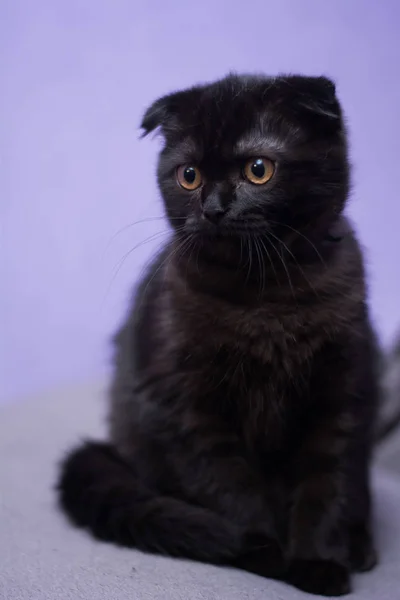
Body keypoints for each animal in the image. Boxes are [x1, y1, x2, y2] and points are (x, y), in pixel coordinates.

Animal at [58, 75, 384, 596]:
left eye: (258, 169)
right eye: (189, 175)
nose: (213, 208)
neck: (265, 296)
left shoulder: (341, 394)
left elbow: (326, 484)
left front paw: (318, 563)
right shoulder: (185, 406)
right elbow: (229, 485)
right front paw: (262, 551)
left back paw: (360, 547)